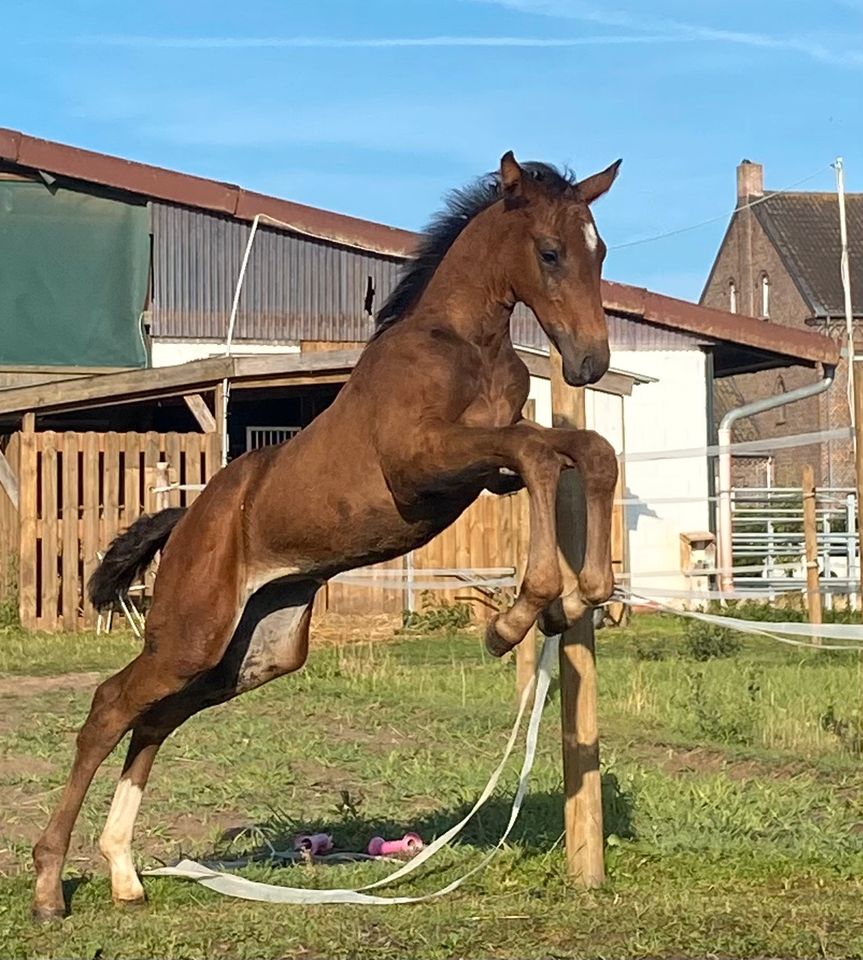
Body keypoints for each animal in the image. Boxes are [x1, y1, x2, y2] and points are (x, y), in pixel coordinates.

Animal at [32, 148, 620, 916]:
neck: (465, 342)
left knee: (153, 718)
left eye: (600, 252)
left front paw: (589, 596)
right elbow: (540, 453)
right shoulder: (421, 464)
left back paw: (124, 874)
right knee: (109, 706)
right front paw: (521, 615)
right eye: (550, 251)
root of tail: (187, 519)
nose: (590, 363)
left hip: (250, 653)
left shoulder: (485, 470)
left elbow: (586, 450)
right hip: (190, 633)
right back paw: (49, 885)